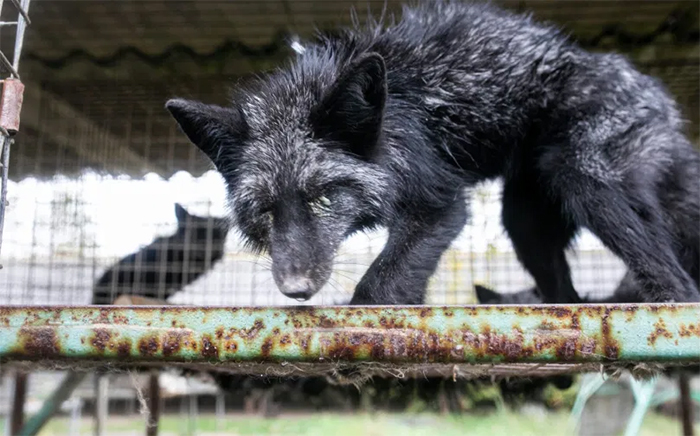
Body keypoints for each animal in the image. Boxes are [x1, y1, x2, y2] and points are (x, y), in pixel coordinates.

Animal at [165, 1, 700, 304]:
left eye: (322, 199)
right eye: (266, 212)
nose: (296, 290)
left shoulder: (438, 198)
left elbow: (380, 285)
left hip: (584, 178)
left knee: (679, 284)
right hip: (525, 219)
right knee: (564, 289)